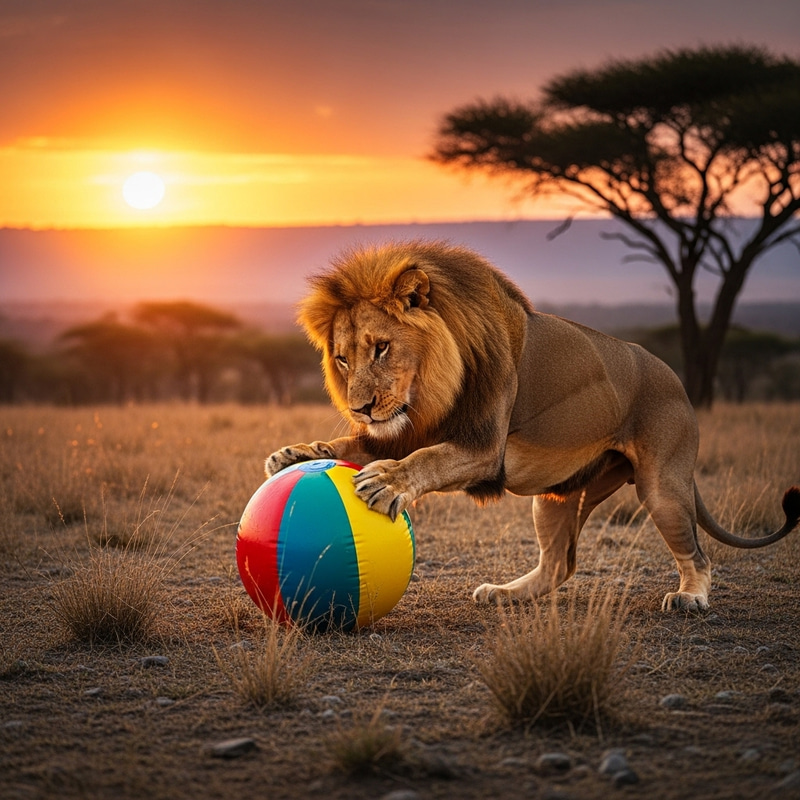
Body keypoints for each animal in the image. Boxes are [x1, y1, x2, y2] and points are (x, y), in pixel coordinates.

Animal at [266, 241, 800, 612]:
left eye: (381, 348)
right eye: (341, 358)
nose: (362, 407)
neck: (428, 395)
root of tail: (677, 381)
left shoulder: (482, 446)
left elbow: (427, 458)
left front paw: (388, 482)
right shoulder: (403, 429)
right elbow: (350, 445)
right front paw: (297, 454)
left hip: (662, 486)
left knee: (698, 555)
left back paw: (690, 597)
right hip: (558, 496)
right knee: (559, 564)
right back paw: (503, 593)